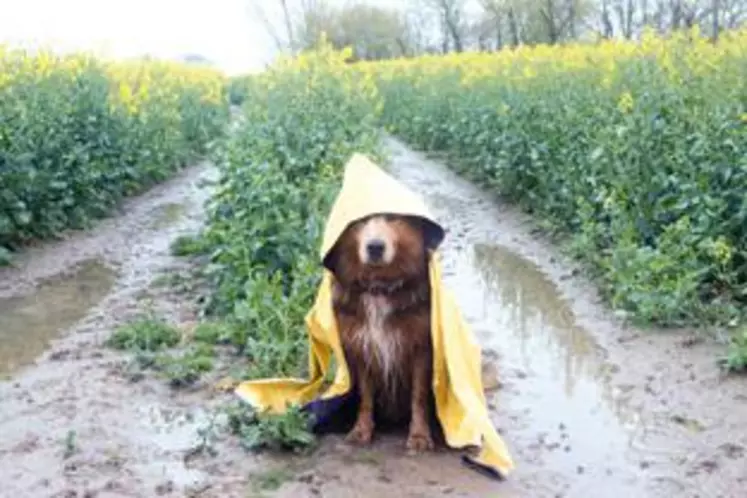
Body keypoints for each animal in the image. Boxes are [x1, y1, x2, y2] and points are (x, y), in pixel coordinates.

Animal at [324, 212, 436, 454]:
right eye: (360, 220)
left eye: (393, 217)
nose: (375, 247)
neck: (379, 287)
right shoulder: (362, 347)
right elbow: (365, 396)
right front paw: (361, 430)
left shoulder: (421, 348)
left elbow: (419, 396)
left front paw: (419, 435)